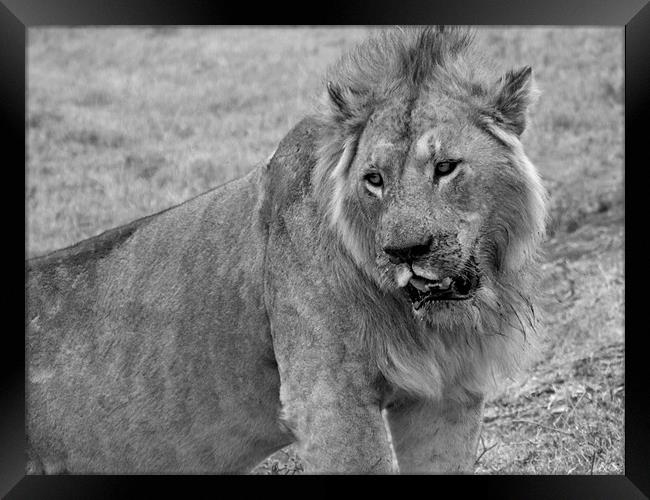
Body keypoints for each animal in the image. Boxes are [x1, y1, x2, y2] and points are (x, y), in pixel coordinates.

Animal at [25, 27, 544, 472]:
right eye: (374, 179)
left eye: (446, 167)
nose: (405, 251)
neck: (429, 324)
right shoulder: (327, 400)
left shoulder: (445, 397)